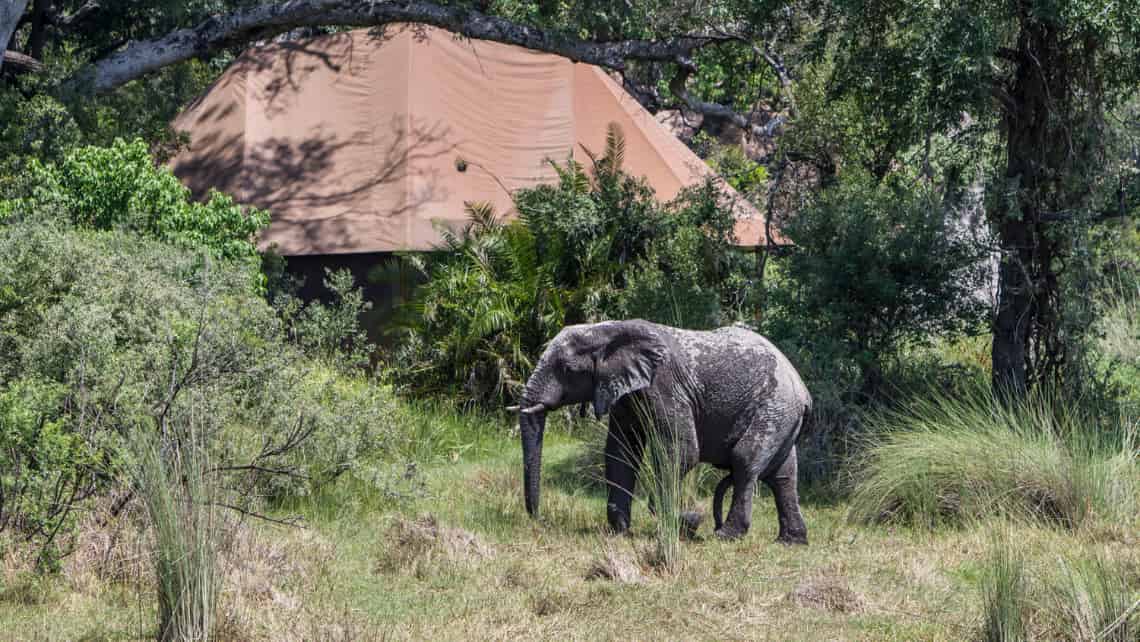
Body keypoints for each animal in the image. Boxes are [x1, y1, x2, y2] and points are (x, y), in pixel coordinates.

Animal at [517, 319, 811, 542]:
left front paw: (686, 521)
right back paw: (790, 541)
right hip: (783, 415)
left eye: (567, 369)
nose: (539, 519)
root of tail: (803, 391)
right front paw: (620, 531)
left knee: (745, 460)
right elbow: (621, 452)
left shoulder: (664, 386)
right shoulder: (625, 393)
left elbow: (683, 451)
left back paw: (726, 535)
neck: (606, 330)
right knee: (783, 475)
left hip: (774, 406)